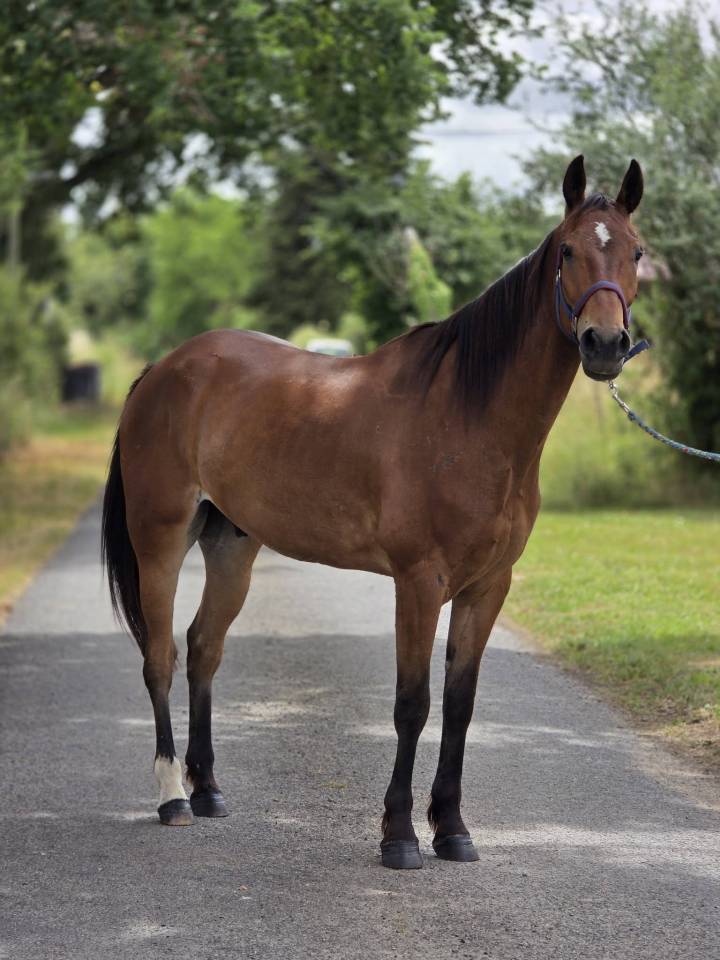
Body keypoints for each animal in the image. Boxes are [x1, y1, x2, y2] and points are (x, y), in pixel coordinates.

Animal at [102, 156, 645, 869]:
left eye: (637, 252)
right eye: (568, 251)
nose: (604, 343)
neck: (470, 416)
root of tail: (163, 369)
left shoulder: (487, 587)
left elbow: (461, 704)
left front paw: (453, 829)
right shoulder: (419, 582)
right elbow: (412, 704)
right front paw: (400, 836)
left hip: (232, 546)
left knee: (203, 649)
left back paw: (210, 789)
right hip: (160, 538)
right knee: (160, 654)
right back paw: (172, 797)